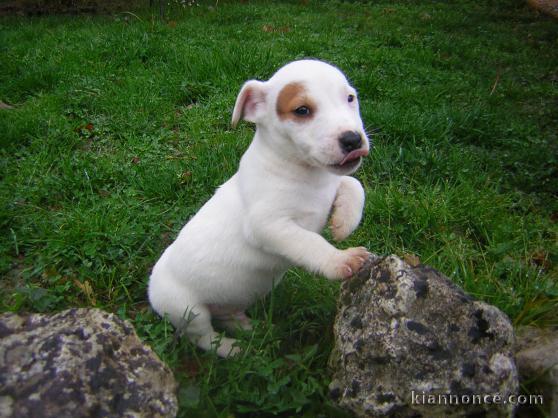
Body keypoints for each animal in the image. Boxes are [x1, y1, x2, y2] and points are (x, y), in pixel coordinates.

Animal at [150, 59, 372, 356]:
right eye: (302, 110)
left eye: (350, 98)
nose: (353, 139)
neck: (305, 173)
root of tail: (151, 290)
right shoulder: (268, 226)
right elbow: (310, 242)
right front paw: (340, 260)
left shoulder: (333, 183)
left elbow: (353, 184)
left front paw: (343, 223)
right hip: (187, 309)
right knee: (203, 337)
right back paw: (232, 349)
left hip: (226, 302)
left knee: (227, 316)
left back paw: (250, 328)